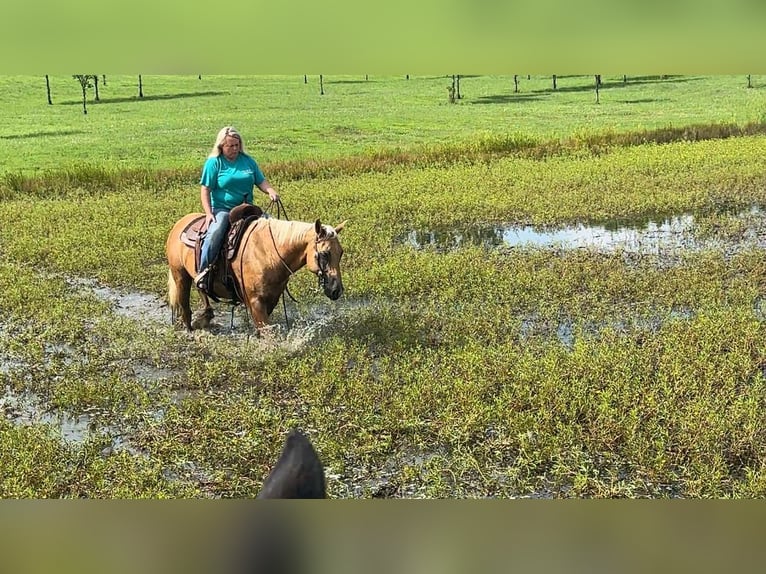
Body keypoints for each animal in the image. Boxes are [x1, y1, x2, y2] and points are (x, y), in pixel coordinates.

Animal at [165, 212, 346, 331]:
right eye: (325, 253)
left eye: (341, 252)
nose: (336, 290)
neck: (269, 253)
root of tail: (179, 224)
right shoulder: (255, 301)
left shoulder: (271, 299)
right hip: (180, 276)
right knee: (185, 309)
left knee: (202, 290)